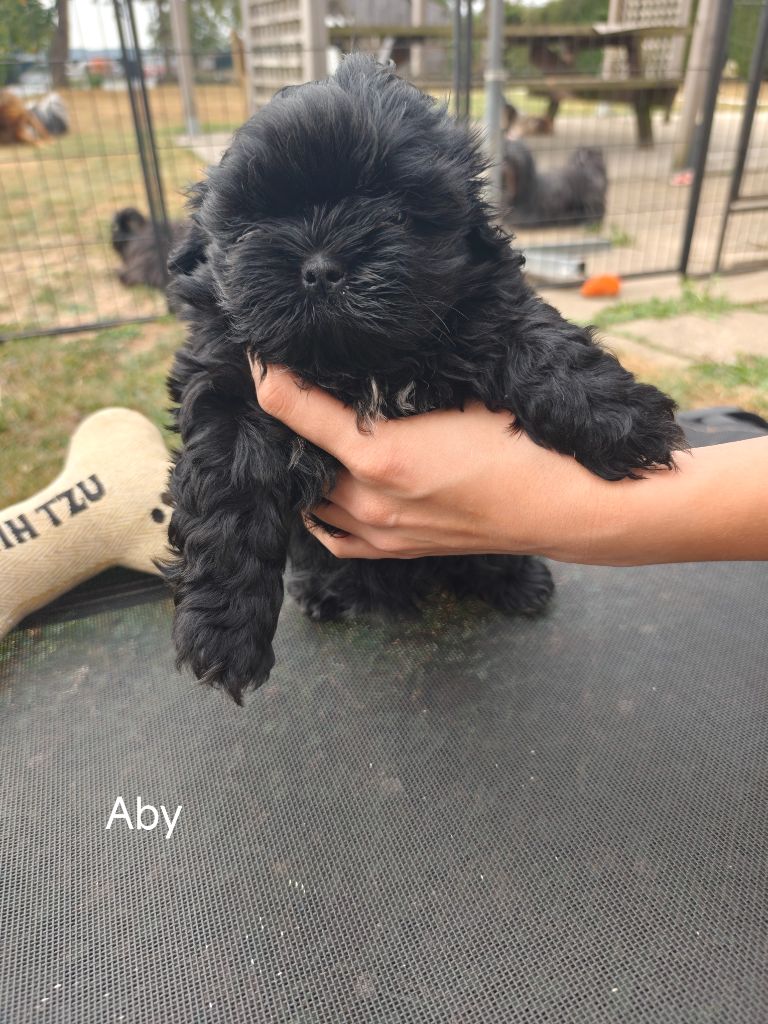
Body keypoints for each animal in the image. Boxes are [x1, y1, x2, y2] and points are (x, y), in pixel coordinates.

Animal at [164, 54, 684, 703]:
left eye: (397, 213)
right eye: (258, 218)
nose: (322, 268)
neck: (359, 364)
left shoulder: (485, 302)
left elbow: (535, 334)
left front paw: (619, 416)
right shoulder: (225, 380)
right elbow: (228, 484)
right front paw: (222, 627)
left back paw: (517, 578)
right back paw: (324, 594)